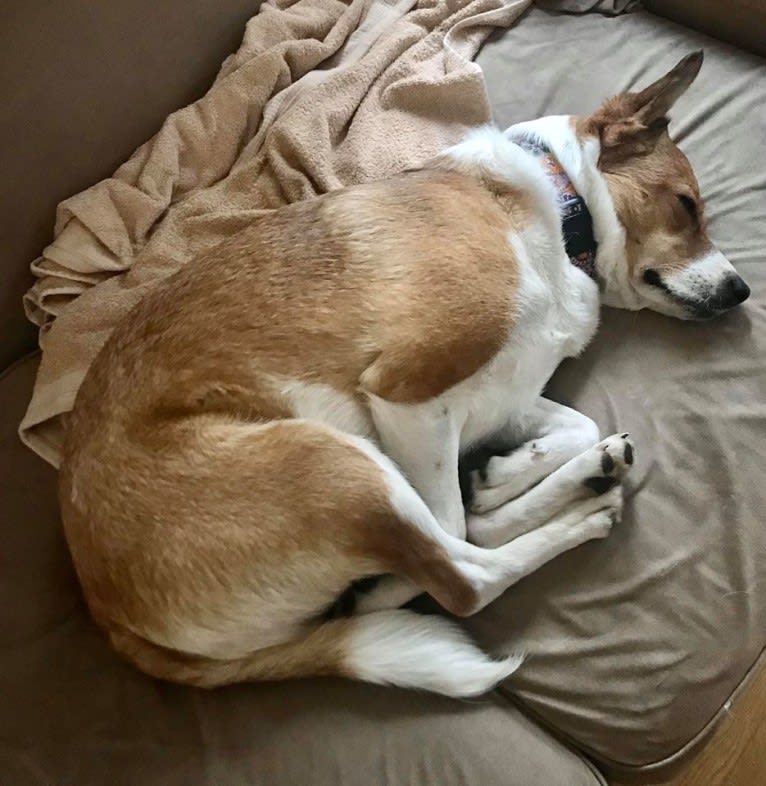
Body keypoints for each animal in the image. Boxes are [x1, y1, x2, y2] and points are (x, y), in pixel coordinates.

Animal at [60, 52, 752, 696]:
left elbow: (570, 428)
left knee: (456, 539)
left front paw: (504, 476)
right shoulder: (407, 393)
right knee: (461, 575)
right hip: (332, 465)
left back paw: (582, 477)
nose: (742, 291)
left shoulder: (498, 400)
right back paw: (578, 518)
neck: (562, 212)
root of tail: (110, 619)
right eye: (687, 208)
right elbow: (456, 522)